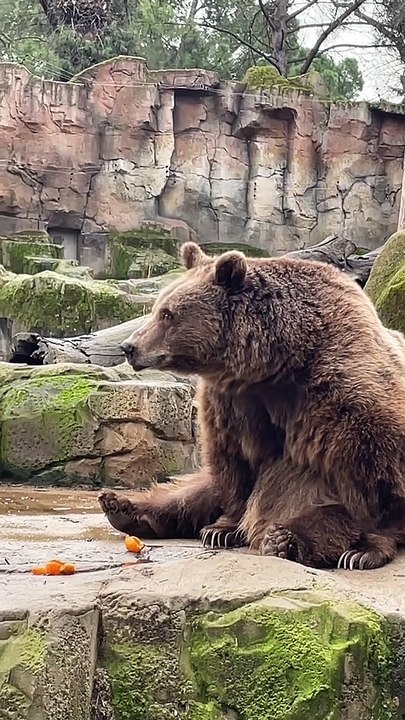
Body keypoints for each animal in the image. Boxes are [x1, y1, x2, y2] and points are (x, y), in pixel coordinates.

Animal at [99, 241, 405, 571]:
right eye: (158, 308)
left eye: (168, 314)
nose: (129, 346)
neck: (277, 365)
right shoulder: (235, 402)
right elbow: (235, 462)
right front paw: (222, 528)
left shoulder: (343, 394)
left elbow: (376, 476)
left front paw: (365, 548)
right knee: (196, 491)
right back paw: (121, 506)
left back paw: (288, 539)